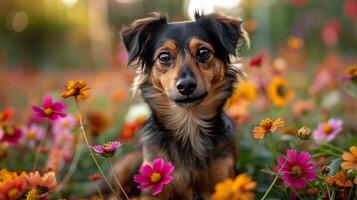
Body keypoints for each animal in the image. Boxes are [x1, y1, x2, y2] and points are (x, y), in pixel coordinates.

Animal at [112, 11, 249, 199]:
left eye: (203, 52)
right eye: (164, 57)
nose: (186, 86)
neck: (188, 123)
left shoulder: (223, 175)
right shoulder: (152, 186)